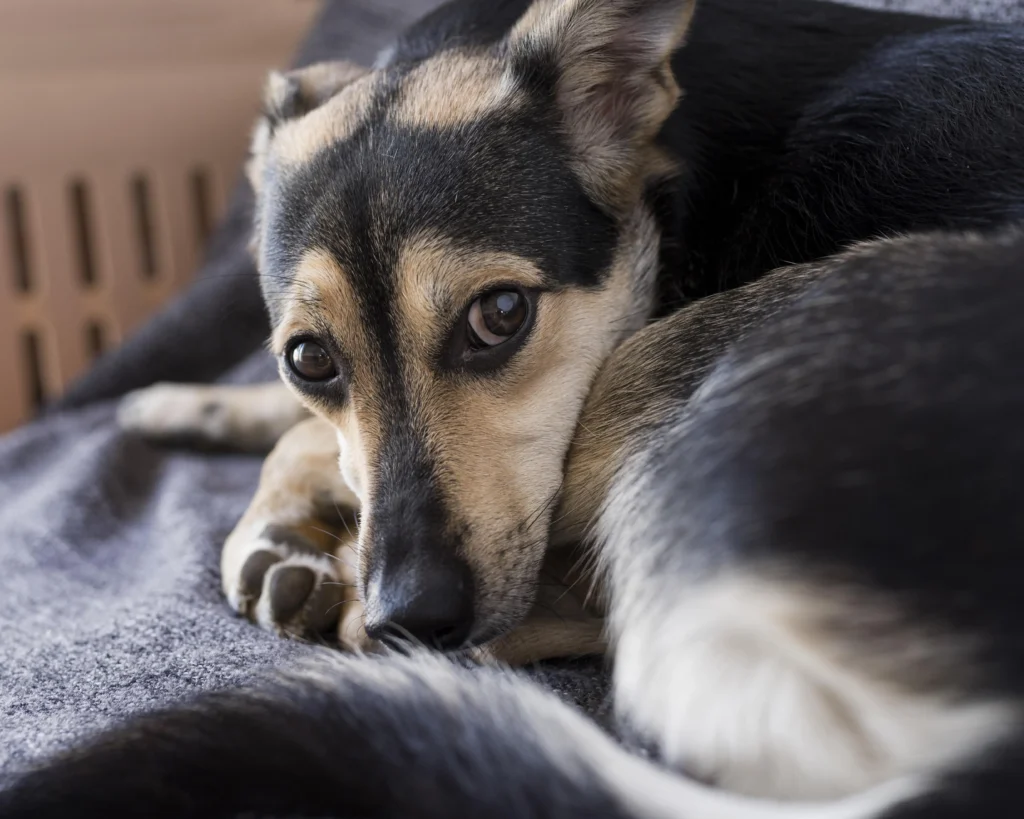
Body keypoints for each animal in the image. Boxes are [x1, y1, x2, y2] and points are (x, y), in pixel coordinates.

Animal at [8, 1, 1024, 818]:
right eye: (308, 357)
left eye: (500, 315)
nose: (410, 615)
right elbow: (306, 427)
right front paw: (190, 407)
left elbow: (309, 446)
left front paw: (278, 521)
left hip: (682, 358)